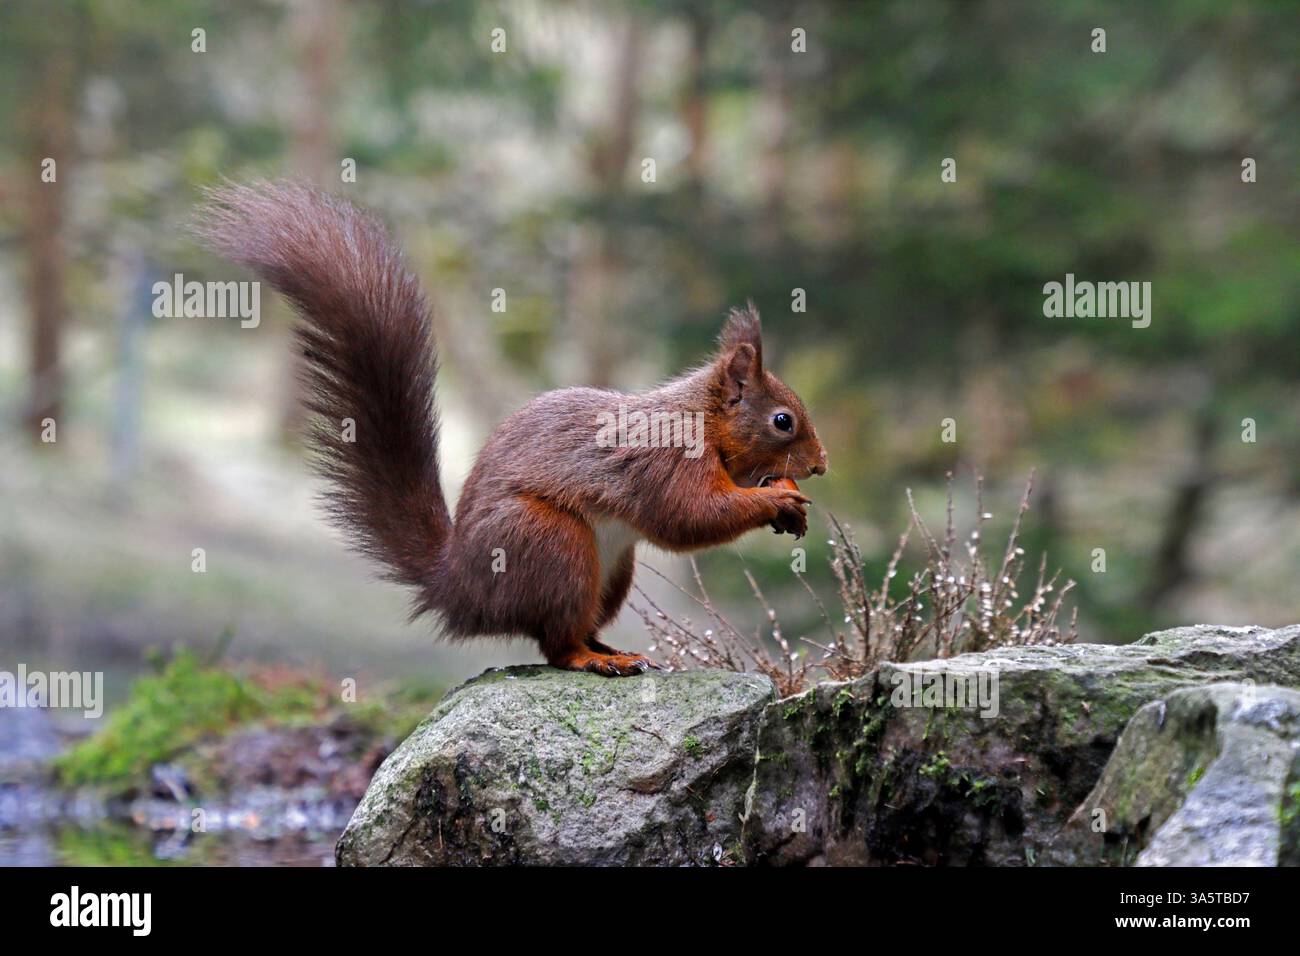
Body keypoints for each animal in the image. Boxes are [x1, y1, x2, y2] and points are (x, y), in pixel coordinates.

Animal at [198, 182, 827, 676]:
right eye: (783, 421)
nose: (821, 466)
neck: (700, 421)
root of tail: (461, 585)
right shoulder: (665, 460)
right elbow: (689, 517)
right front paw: (776, 500)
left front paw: (786, 503)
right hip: (550, 542)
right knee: (555, 644)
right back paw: (596, 659)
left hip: (611, 570)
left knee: (562, 633)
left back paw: (608, 646)